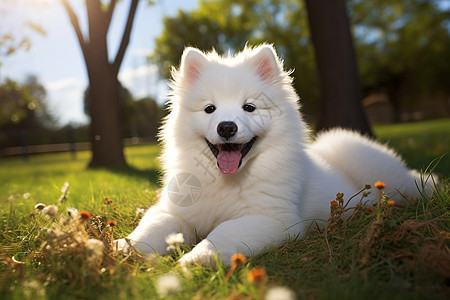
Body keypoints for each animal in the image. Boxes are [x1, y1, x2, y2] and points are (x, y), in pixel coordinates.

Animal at [118, 45, 430, 268]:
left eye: (249, 107)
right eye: (209, 109)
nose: (227, 127)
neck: (227, 181)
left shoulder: (273, 219)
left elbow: (224, 232)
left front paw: (197, 258)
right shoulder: (176, 210)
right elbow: (155, 226)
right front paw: (127, 247)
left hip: (371, 165)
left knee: (413, 183)